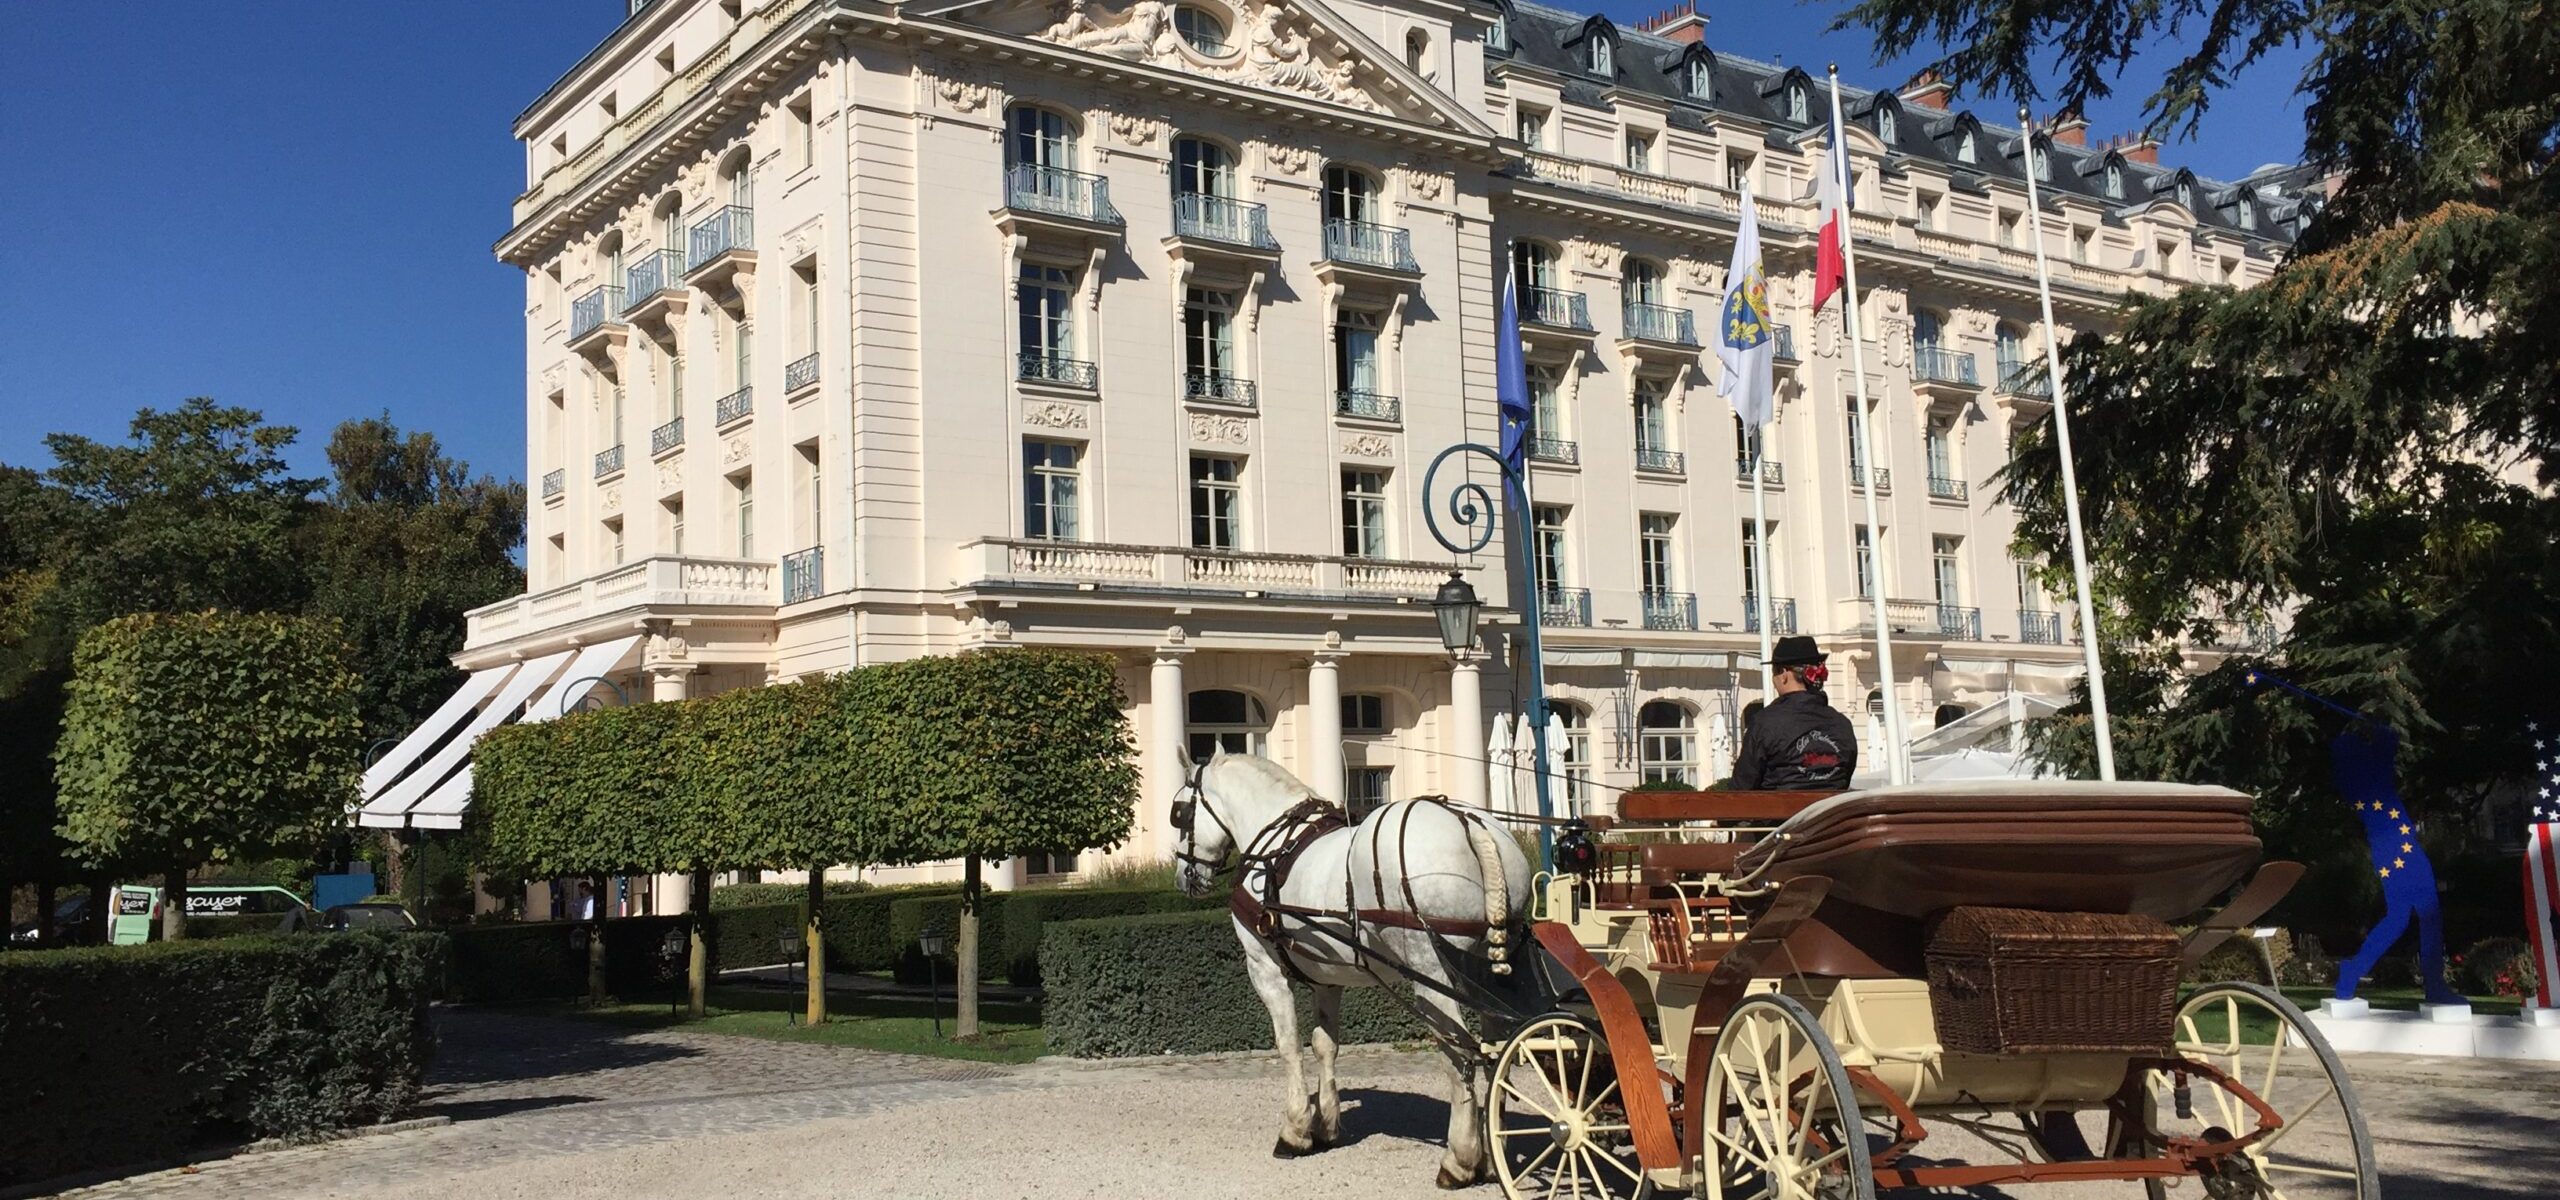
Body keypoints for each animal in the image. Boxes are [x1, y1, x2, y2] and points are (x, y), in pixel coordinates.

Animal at [1172, 742, 1525, 1182]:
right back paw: (1495, 1153)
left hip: (1432, 977)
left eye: (1178, 812)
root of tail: (1469, 822)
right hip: (1492, 973)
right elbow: (1325, 1044)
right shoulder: (1326, 977)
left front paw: (1295, 1130)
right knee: (1498, 1053)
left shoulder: (1265, 969)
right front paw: (1325, 1123)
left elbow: (1289, 1044)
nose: (1183, 878)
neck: (1274, 844)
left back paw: (1459, 1160)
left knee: (1458, 1055)